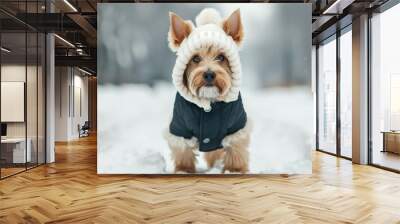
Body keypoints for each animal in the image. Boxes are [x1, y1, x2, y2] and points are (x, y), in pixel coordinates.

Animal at [164, 8, 252, 173]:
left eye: (221, 57)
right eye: (195, 58)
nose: (209, 74)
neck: (209, 101)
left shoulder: (237, 126)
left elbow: (236, 150)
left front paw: (234, 171)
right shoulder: (180, 127)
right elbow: (183, 152)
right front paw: (183, 170)